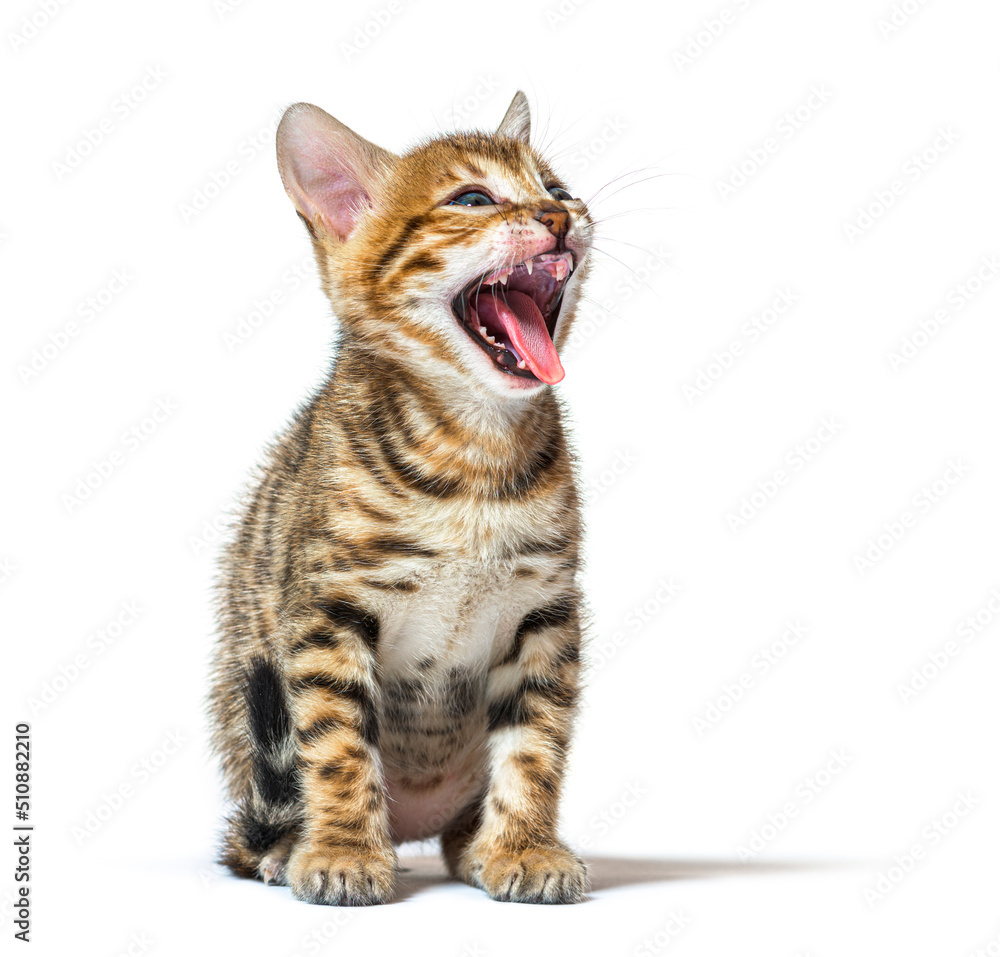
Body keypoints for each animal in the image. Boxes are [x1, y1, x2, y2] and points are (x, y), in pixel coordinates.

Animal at [206, 89, 588, 904]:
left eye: (558, 188)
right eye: (473, 198)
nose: (560, 216)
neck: (474, 453)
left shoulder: (545, 612)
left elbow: (535, 744)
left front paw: (526, 846)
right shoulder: (327, 609)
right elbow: (338, 745)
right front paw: (345, 850)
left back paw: (475, 843)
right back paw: (292, 846)